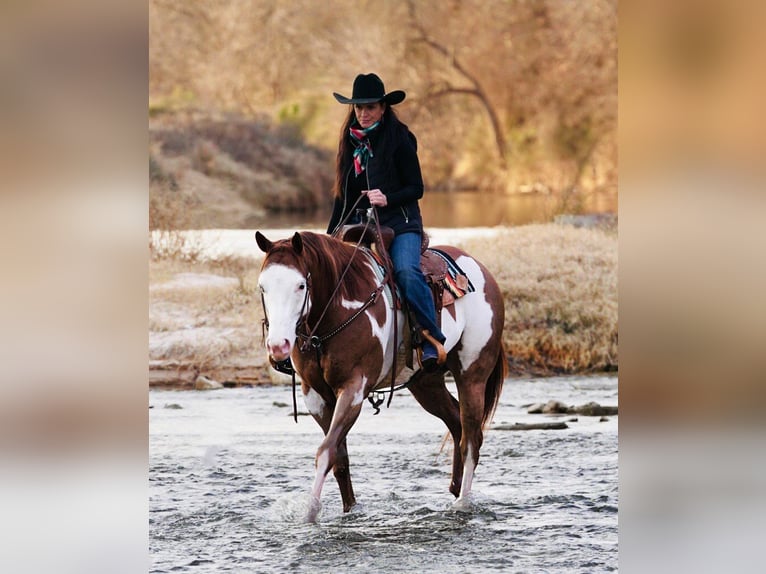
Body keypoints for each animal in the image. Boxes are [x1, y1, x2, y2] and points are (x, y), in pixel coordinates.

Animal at [258, 232, 508, 524]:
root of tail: (481, 270)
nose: (278, 346)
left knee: (471, 438)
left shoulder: (354, 389)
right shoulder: (316, 396)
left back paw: (463, 503)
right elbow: (339, 459)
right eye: (263, 287)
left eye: (300, 285)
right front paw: (350, 511)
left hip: (473, 374)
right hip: (426, 384)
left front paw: (309, 512)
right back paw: (455, 490)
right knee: (456, 423)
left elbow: (326, 451)